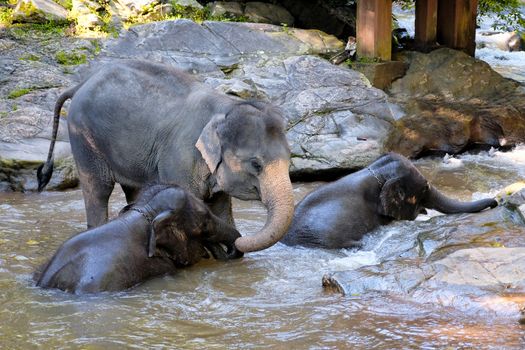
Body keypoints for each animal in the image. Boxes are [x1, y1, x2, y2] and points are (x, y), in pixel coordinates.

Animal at [37, 59, 294, 252]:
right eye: (256, 164)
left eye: (290, 161)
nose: (240, 241)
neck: (227, 107)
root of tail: (80, 84)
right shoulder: (180, 156)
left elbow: (221, 207)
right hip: (83, 137)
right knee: (98, 189)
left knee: (134, 190)